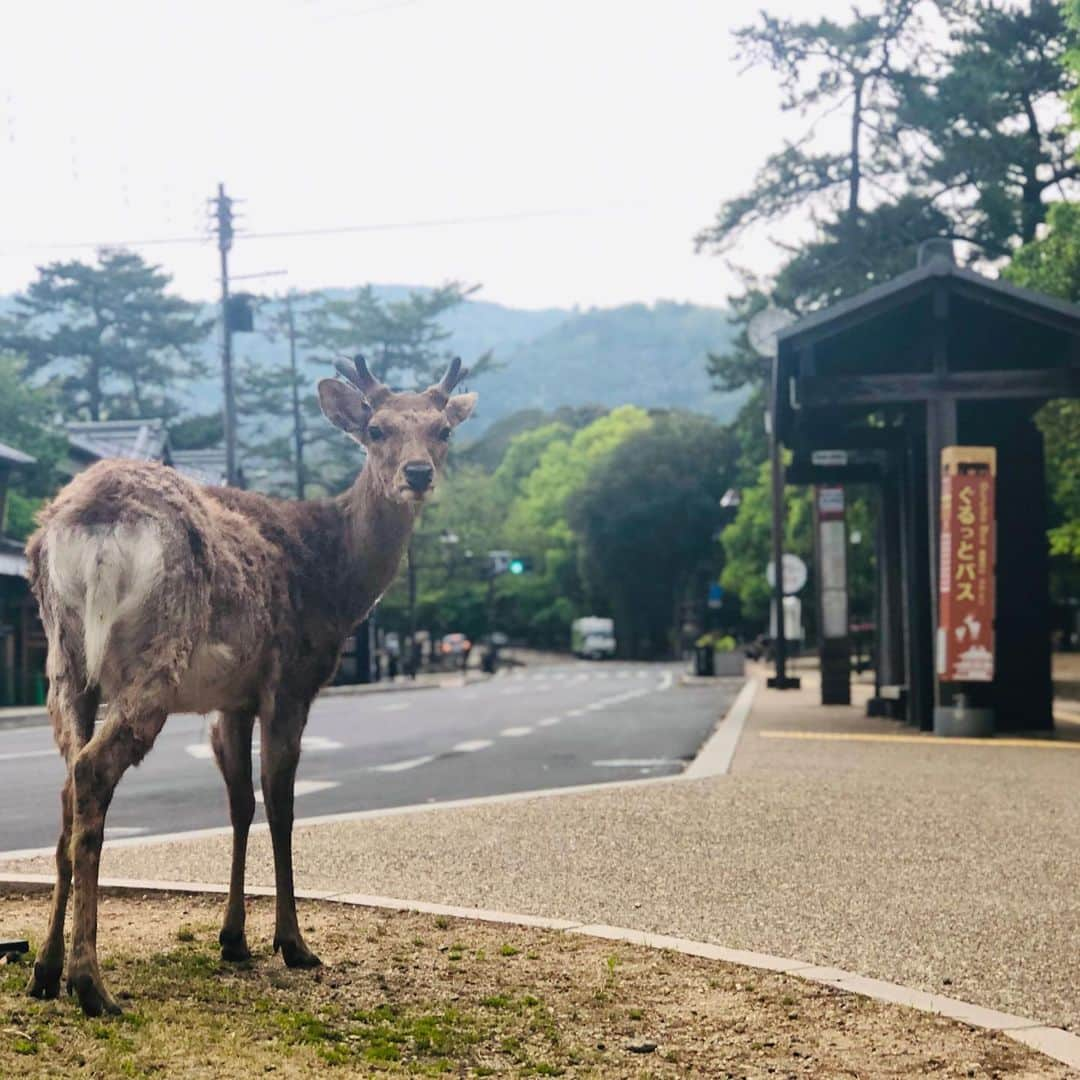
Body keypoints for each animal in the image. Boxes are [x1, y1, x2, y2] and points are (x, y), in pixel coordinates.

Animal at [21, 358, 475, 1015]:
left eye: (442, 430)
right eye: (377, 429)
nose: (417, 473)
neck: (336, 580)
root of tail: (94, 520)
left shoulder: (230, 700)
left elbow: (239, 803)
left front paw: (233, 939)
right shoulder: (290, 682)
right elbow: (281, 803)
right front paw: (294, 943)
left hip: (65, 659)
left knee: (66, 784)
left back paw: (45, 969)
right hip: (157, 651)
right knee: (92, 770)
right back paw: (91, 983)